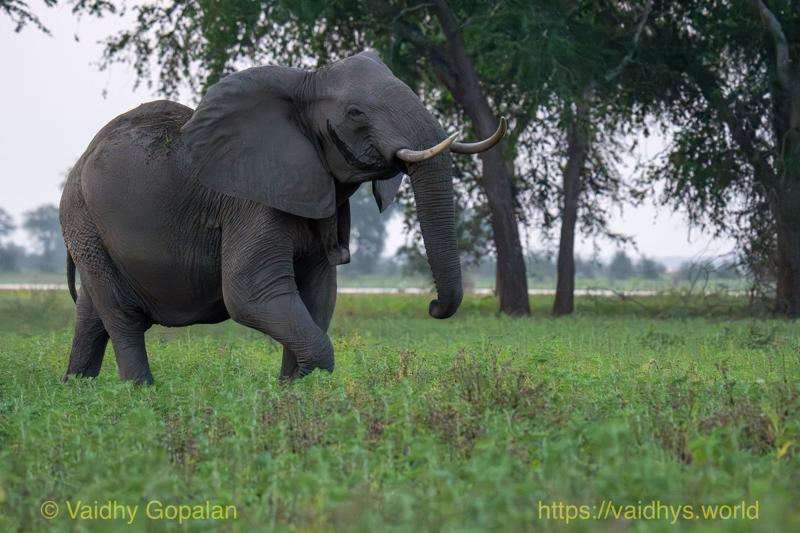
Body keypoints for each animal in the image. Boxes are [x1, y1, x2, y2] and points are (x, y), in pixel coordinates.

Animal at [59, 51, 506, 384]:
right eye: (356, 113)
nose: (433, 306)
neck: (305, 84)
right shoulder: (251, 201)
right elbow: (251, 294)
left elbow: (318, 296)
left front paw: (295, 391)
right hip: (84, 220)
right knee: (122, 317)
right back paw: (140, 393)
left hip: (88, 228)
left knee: (92, 314)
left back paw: (77, 390)